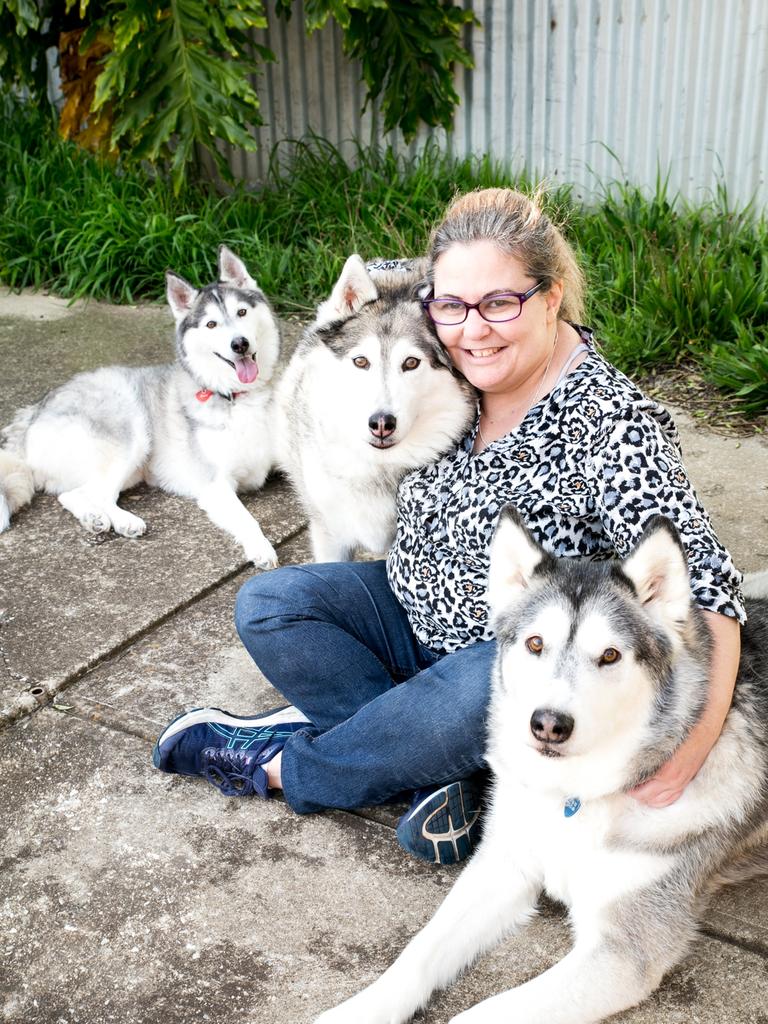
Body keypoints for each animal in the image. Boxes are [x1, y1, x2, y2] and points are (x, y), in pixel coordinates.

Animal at [0, 247, 282, 569]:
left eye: (242, 312)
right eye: (211, 324)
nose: (239, 344)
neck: (239, 396)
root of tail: (33, 413)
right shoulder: (216, 484)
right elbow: (247, 519)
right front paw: (260, 547)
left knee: (73, 494)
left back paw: (96, 518)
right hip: (132, 435)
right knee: (96, 493)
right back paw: (122, 520)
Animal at [313, 509, 768, 1024]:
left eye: (609, 654)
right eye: (535, 644)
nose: (548, 724)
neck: (572, 795)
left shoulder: (624, 952)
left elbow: (480, 1014)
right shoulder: (502, 866)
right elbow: (417, 953)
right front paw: (357, 1010)